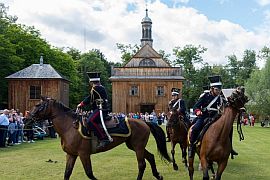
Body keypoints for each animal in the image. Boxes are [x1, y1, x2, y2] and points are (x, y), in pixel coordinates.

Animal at [28, 97, 171, 180]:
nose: (28, 118)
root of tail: (144, 122)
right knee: (150, 157)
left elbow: (89, 173)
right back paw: (158, 175)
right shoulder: (71, 154)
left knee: (142, 164)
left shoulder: (84, 154)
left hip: (138, 147)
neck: (70, 127)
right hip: (133, 146)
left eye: (38, 105)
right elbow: (67, 173)